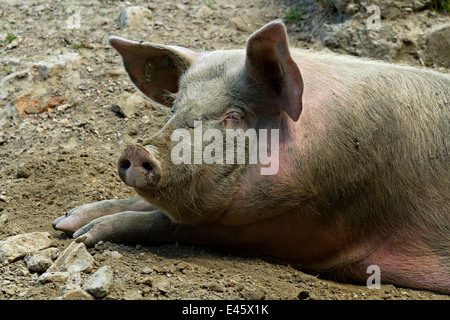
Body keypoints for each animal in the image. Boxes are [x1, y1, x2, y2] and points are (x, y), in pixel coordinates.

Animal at [51, 20, 448, 292]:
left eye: (234, 115)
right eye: (175, 107)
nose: (137, 150)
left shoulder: (315, 222)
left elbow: (174, 222)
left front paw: (84, 235)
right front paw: (65, 221)